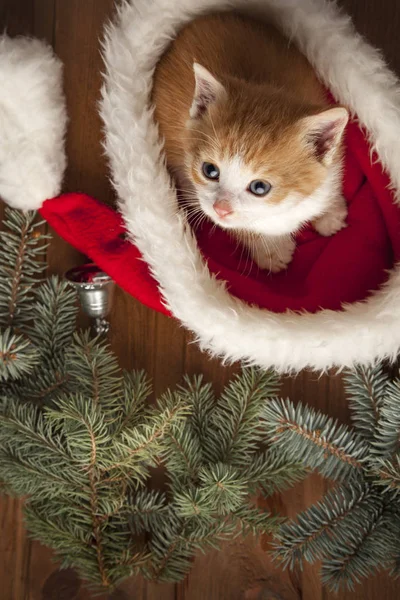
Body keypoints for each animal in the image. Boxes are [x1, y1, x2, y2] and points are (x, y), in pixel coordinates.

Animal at [152, 12, 348, 272]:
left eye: (259, 187)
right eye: (210, 170)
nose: (221, 208)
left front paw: (329, 211)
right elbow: (240, 226)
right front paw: (271, 250)